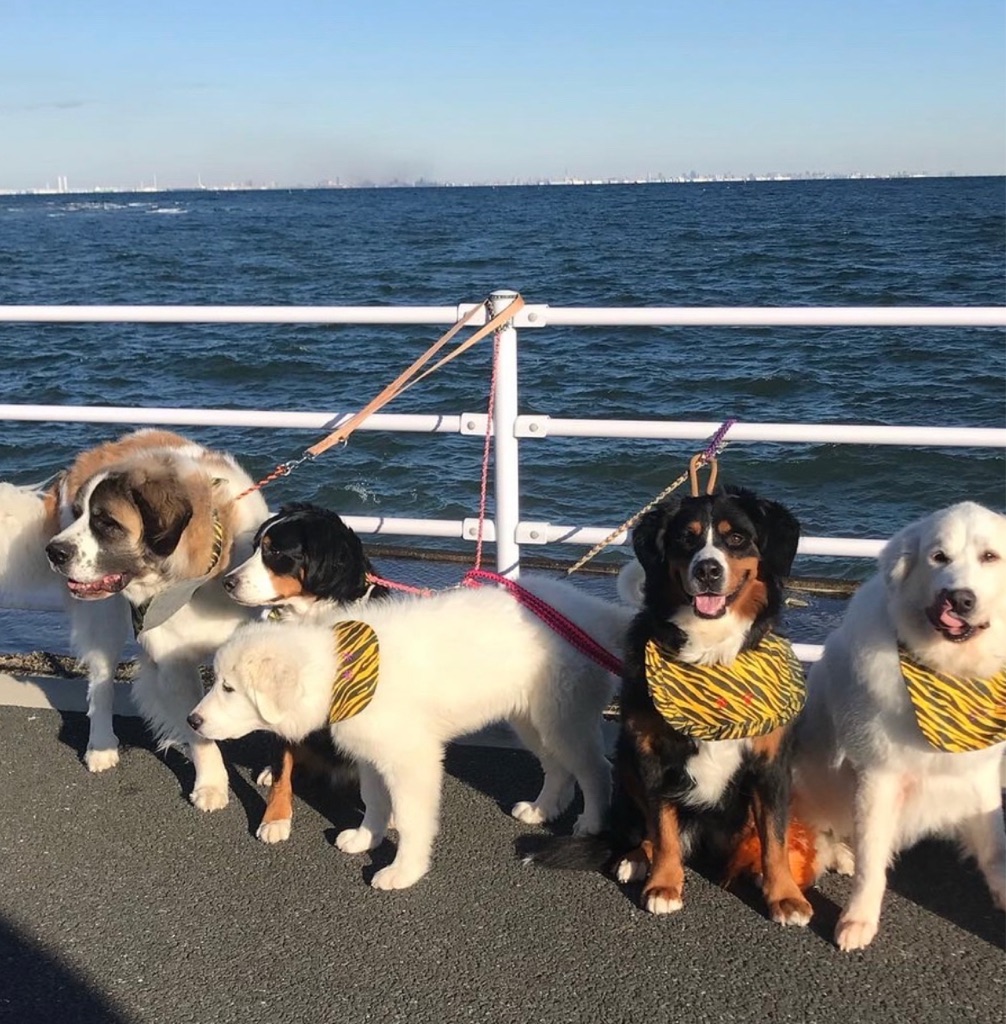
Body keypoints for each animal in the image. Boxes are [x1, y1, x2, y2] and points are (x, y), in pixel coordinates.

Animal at [0, 428, 269, 809]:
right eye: (80, 514)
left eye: (106, 523)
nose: (54, 551)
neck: (199, 575)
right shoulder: (175, 667)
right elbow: (198, 730)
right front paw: (212, 784)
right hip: (103, 618)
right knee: (101, 683)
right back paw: (101, 745)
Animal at [188, 575, 634, 890]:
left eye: (229, 688)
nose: (193, 721)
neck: (342, 672)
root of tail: (592, 612)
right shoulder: (371, 754)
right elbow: (374, 800)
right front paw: (366, 838)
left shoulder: (412, 760)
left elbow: (410, 817)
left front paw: (404, 871)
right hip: (532, 718)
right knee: (556, 767)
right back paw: (542, 808)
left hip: (564, 718)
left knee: (595, 769)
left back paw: (591, 821)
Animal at [526, 487, 814, 926]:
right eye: (685, 539)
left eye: (736, 538)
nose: (708, 569)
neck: (711, 655)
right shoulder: (652, 755)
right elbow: (662, 829)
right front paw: (663, 884)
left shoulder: (771, 765)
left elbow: (775, 837)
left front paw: (785, 895)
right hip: (627, 763)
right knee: (643, 829)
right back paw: (635, 860)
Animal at [792, 501, 1006, 951]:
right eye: (938, 557)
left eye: (989, 557)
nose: (958, 598)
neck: (946, 669)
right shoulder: (878, 777)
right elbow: (872, 859)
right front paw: (857, 920)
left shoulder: (978, 774)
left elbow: (995, 845)